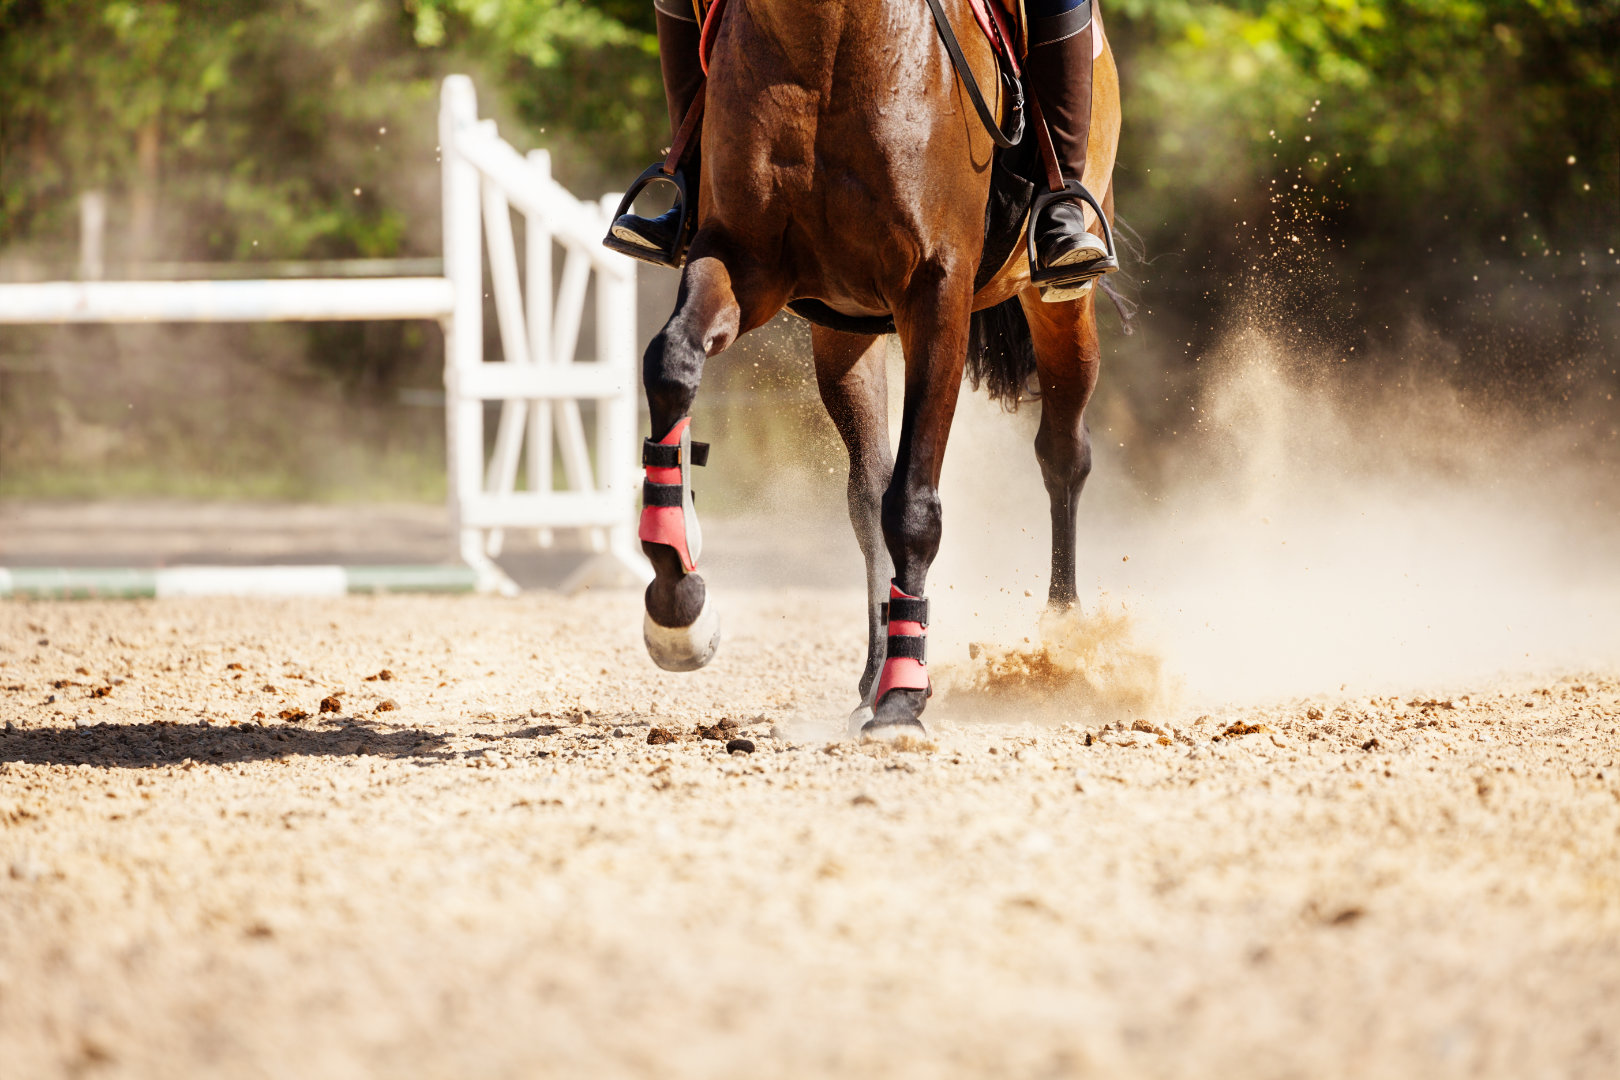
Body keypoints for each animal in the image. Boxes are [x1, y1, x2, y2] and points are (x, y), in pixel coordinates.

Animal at [638, 0, 1121, 738]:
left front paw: (904, 697)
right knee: (866, 492)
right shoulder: (740, 262)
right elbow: (671, 365)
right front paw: (679, 606)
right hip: (843, 335)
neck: (827, 36)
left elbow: (915, 503)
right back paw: (870, 674)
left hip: (1060, 304)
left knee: (1063, 453)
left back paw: (1059, 644)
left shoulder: (936, 292)